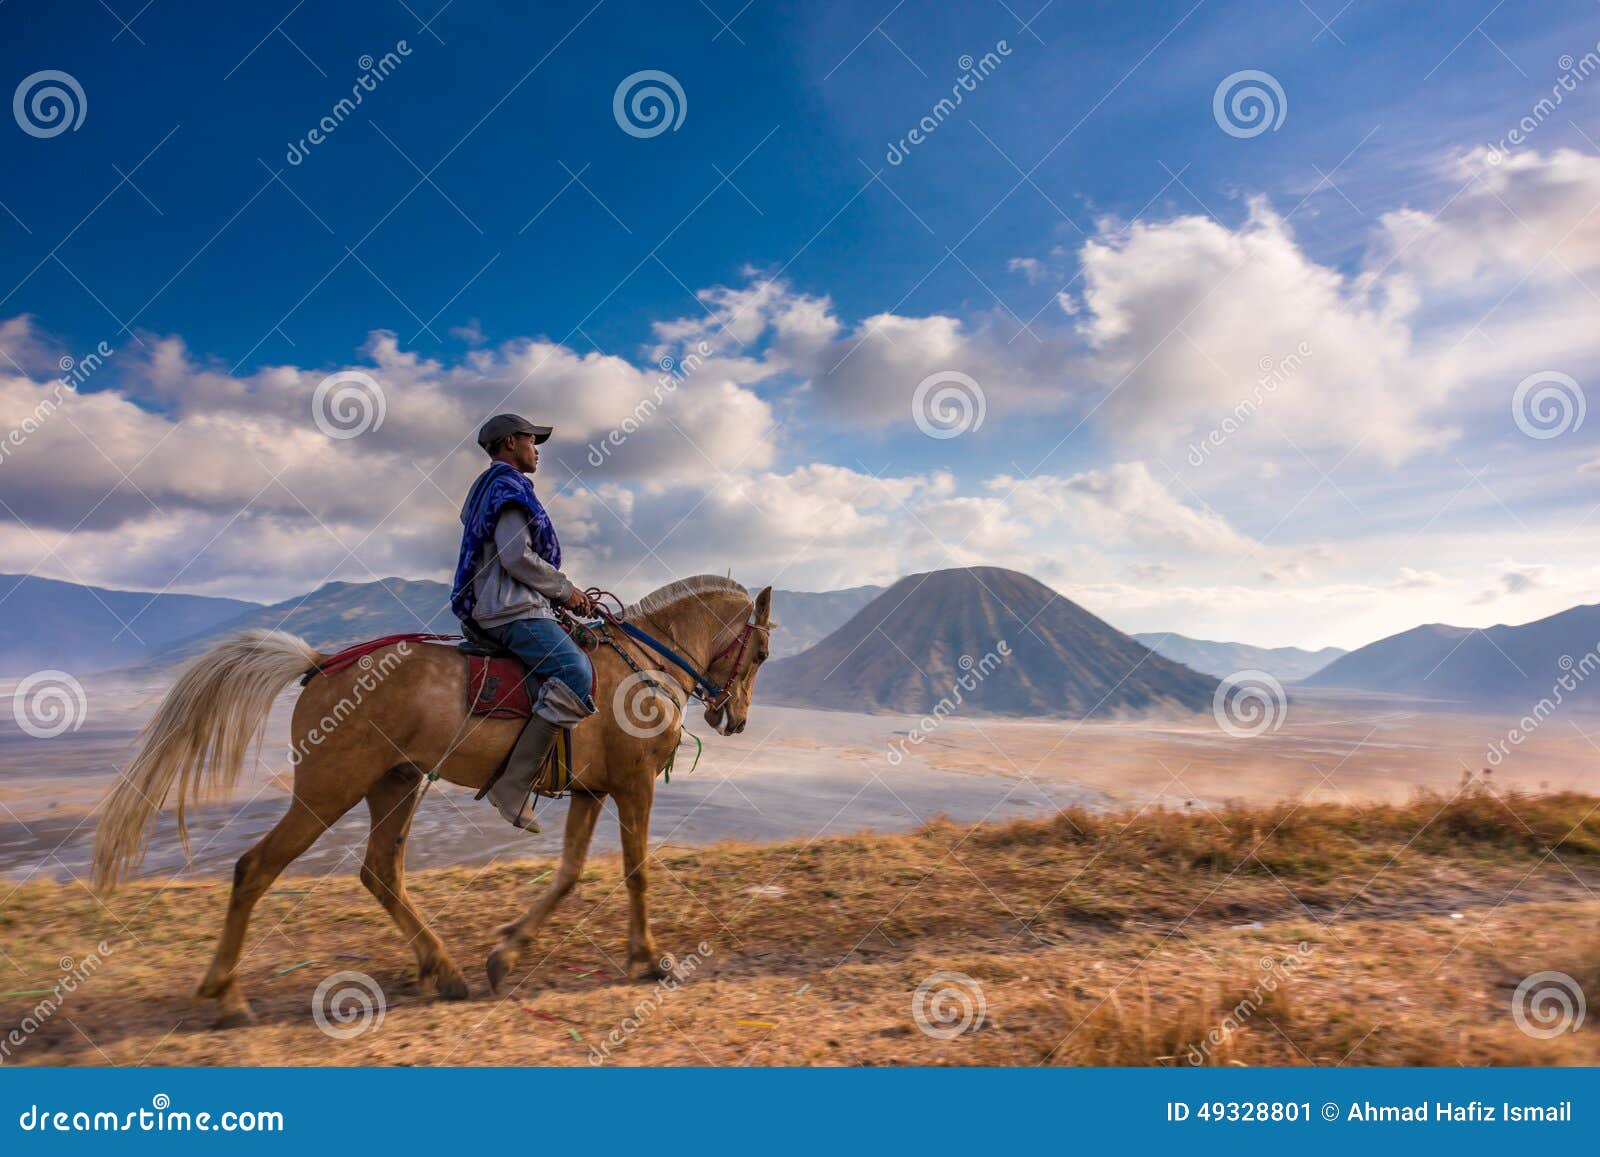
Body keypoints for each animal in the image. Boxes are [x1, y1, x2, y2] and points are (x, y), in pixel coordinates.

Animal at [87, 576, 774, 1024]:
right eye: (762, 652)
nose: (735, 719)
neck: (643, 669)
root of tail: (321, 663)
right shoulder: (632, 785)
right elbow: (636, 872)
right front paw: (650, 960)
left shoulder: (591, 791)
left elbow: (569, 874)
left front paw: (506, 952)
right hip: (328, 791)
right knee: (255, 868)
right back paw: (226, 994)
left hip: (395, 783)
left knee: (380, 871)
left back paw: (442, 970)